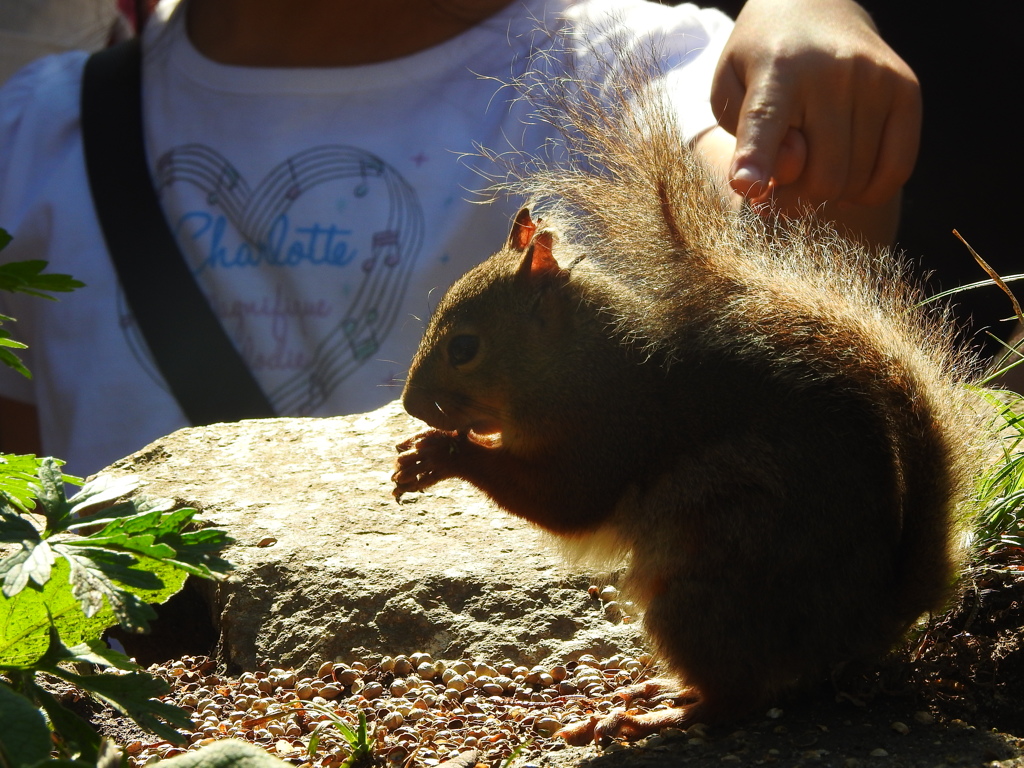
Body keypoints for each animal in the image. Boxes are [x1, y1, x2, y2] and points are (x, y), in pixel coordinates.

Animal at [389, 37, 983, 745]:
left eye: (464, 347)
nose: (411, 404)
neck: (576, 361)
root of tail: (866, 622)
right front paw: (425, 448)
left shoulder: (606, 428)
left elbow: (564, 499)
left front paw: (442, 453)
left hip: (704, 588)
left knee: (740, 695)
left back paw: (669, 711)